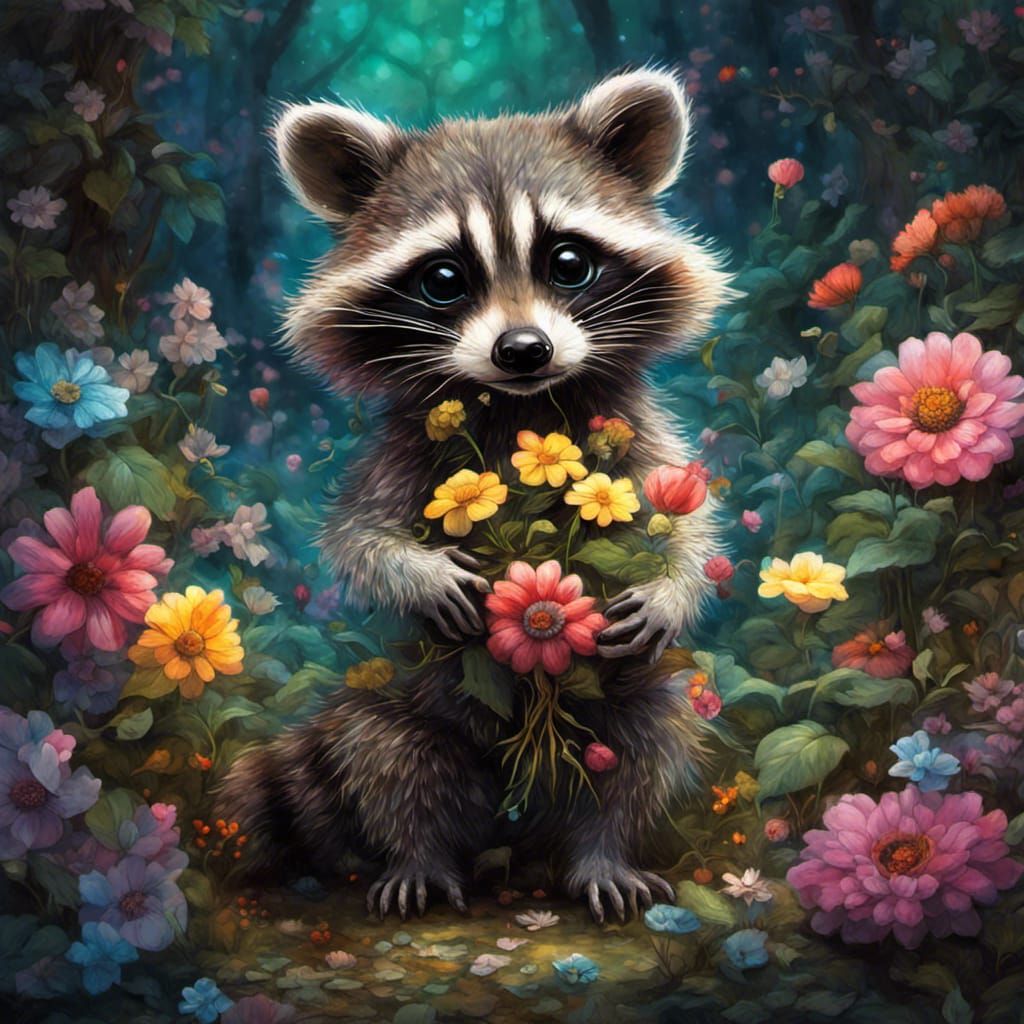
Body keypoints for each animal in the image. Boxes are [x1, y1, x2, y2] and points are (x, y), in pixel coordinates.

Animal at [217, 70, 734, 923]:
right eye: (443, 280)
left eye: (568, 262)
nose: (523, 349)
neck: (523, 406)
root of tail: (515, 817)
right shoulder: (403, 451)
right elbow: (357, 536)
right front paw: (415, 570)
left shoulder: (633, 428)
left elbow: (686, 518)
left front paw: (675, 584)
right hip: (396, 708)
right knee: (393, 762)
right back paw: (421, 855)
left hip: (631, 698)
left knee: (640, 748)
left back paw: (599, 853)